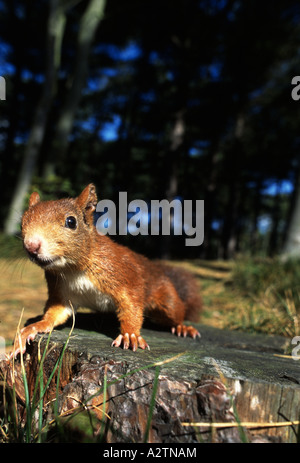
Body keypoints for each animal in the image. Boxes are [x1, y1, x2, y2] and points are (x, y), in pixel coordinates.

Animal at [12, 183, 203, 358]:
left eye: (71, 222)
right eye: (22, 223)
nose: (31, 245)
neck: (72, 269)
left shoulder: (124, 275)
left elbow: (131, 306)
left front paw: (130, 335)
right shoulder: (61, 294)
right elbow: (55, 314)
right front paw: (32, 328)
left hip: (167, 299)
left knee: (175, 313)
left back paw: (183, 327)